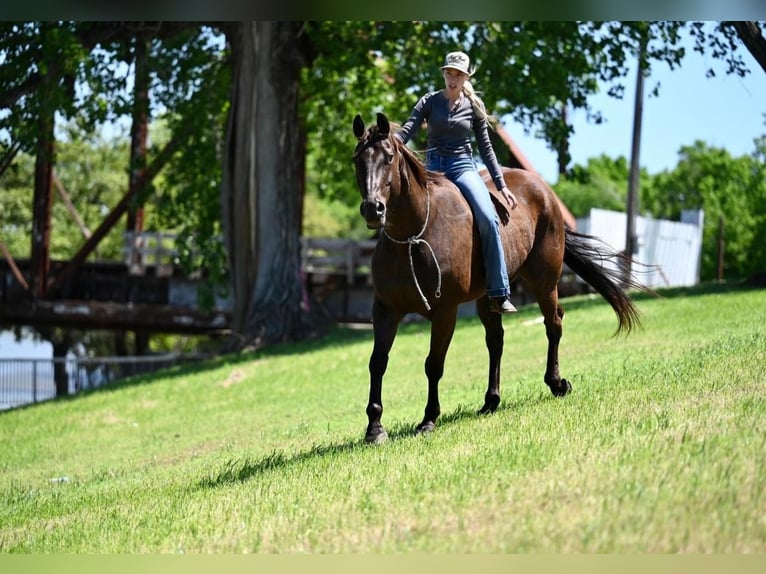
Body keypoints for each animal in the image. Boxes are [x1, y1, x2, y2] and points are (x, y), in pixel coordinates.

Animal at [352, 112, 640, 446]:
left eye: (388, 157)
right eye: (358, 159)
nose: (373, 209)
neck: (414, 235)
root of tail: (544, 191)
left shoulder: (445, 312)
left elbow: (433, 364)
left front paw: (428, 419)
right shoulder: (385, 310)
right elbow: (378, 362)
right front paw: (375, 428)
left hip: (544, 282)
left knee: (553, 324)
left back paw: (556, 383)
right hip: (488, 297)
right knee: (496, 340)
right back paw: (491, 400)